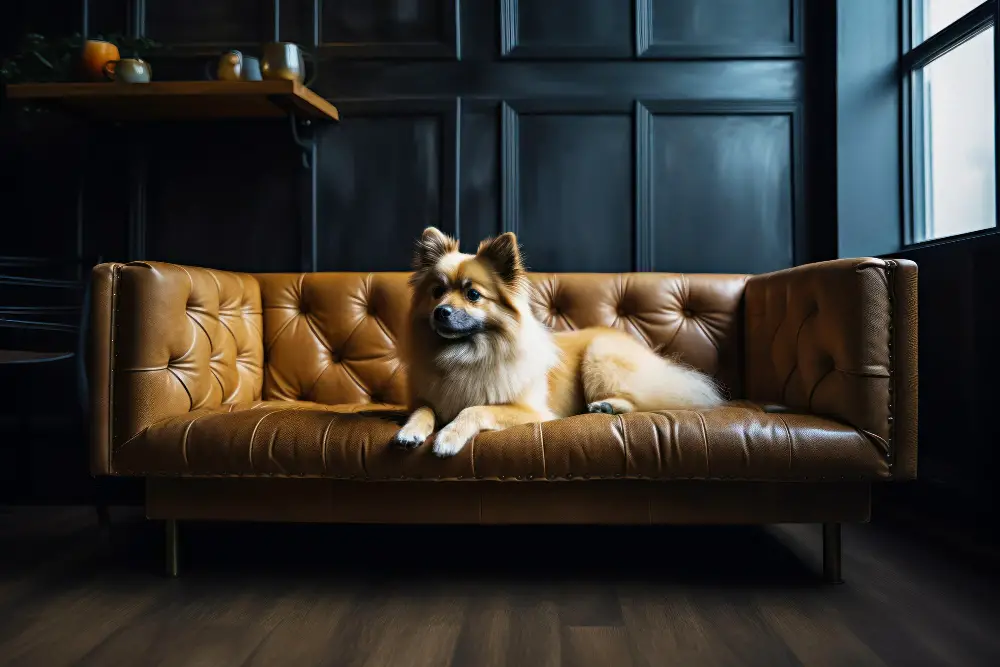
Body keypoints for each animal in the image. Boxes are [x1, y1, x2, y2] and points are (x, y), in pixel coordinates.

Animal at [392, 227, 728, 456]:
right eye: (437, 292)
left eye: (473, 294)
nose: (441, 312)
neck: (465, 355)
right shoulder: (425, 398)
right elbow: (424, 409)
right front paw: (411, 431)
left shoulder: (531, 411)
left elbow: (475, 409)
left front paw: (448, 436)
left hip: (600, 355)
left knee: (644, 399)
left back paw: (607, 405)